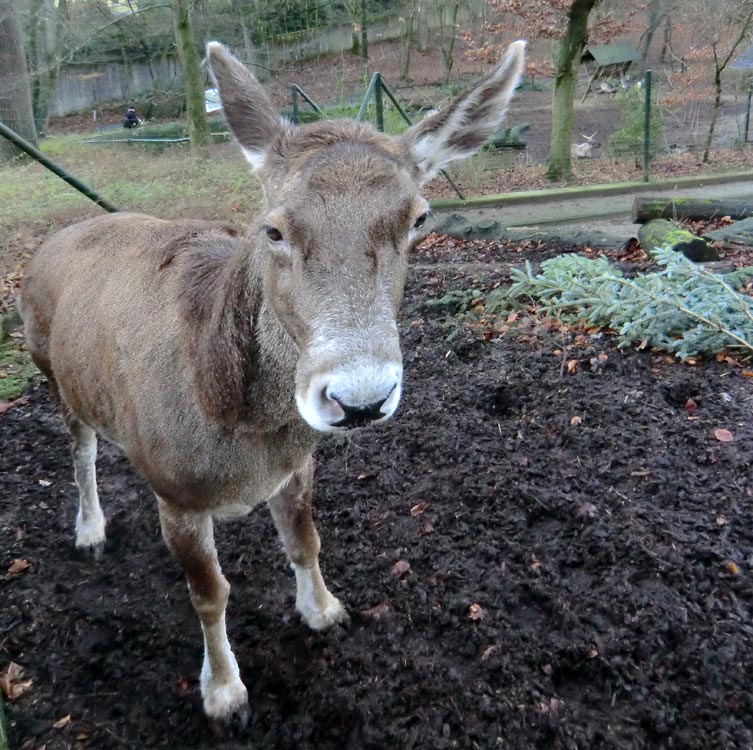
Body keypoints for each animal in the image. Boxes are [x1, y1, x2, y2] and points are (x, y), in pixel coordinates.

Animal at [16, 39, 524, 728]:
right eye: (273, 227)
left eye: (420, 217)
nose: (360, 398)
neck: (240, 426)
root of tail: (47, 244)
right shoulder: (177, 492)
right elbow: (209, 594)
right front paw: (223, 693)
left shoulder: (297, 461)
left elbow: (306, 542)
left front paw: (324, 611)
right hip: (48, 367)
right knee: (81, 448)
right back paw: (89, 530)